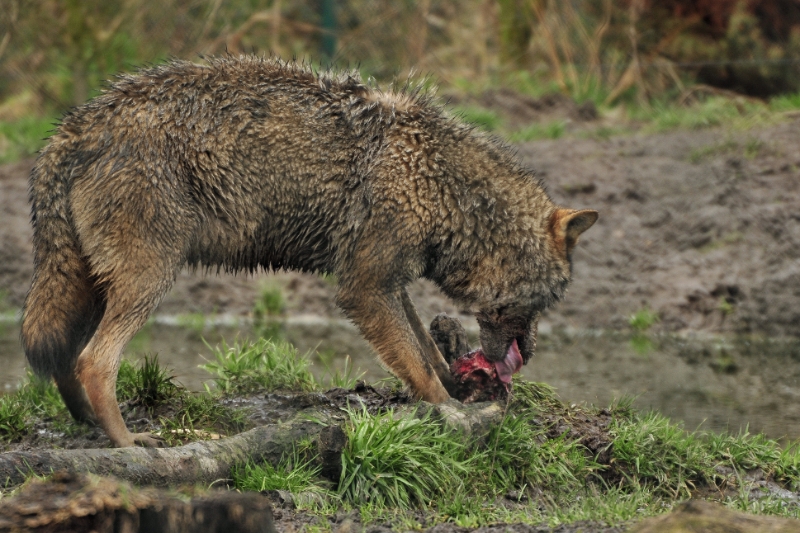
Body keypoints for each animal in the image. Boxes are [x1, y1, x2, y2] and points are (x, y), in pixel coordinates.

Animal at [20, 55, 592, 444]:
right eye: (549, 300)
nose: (529, 355)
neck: (442, 184)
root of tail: (74, 126)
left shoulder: (388, 284)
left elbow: (425, 351)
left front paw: (456, 393)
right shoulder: (365, 289)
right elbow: (421, 368)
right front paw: (451, 415)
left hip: (96, 285)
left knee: (67, 360)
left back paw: (92, 428)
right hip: (148, 281)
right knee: (95, 363)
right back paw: (129, 444)